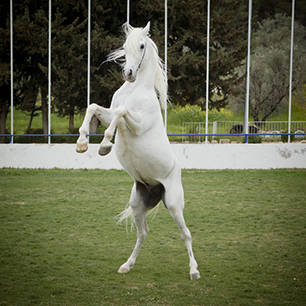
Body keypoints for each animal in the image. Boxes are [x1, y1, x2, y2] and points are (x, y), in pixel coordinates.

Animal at [76, 21, 201, 280]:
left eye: (142, 45)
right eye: (125, 46)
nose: (129, 74)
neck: (135, 90)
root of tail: (156, 189)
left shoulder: (137, 124)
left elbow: (121, 112)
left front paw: (104, 145)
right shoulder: (108, 113)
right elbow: (95, 107)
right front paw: (82, 143)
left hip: (174, 205)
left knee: (185, 234)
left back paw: (194, 271)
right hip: (137, 205)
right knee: (143, 233)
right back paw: (127, 265)